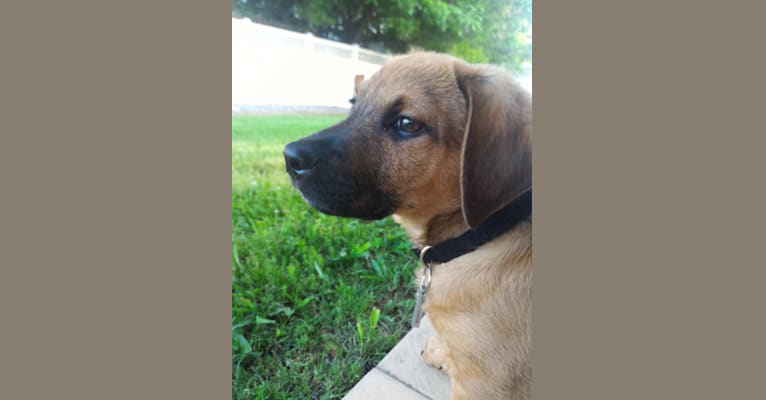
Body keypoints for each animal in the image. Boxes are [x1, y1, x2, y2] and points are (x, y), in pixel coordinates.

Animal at [284, 52, 536, 396]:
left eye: (406, 124)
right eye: (353, 103)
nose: (290, 158)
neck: (481, 237)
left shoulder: (486, 384)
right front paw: (440, 351)